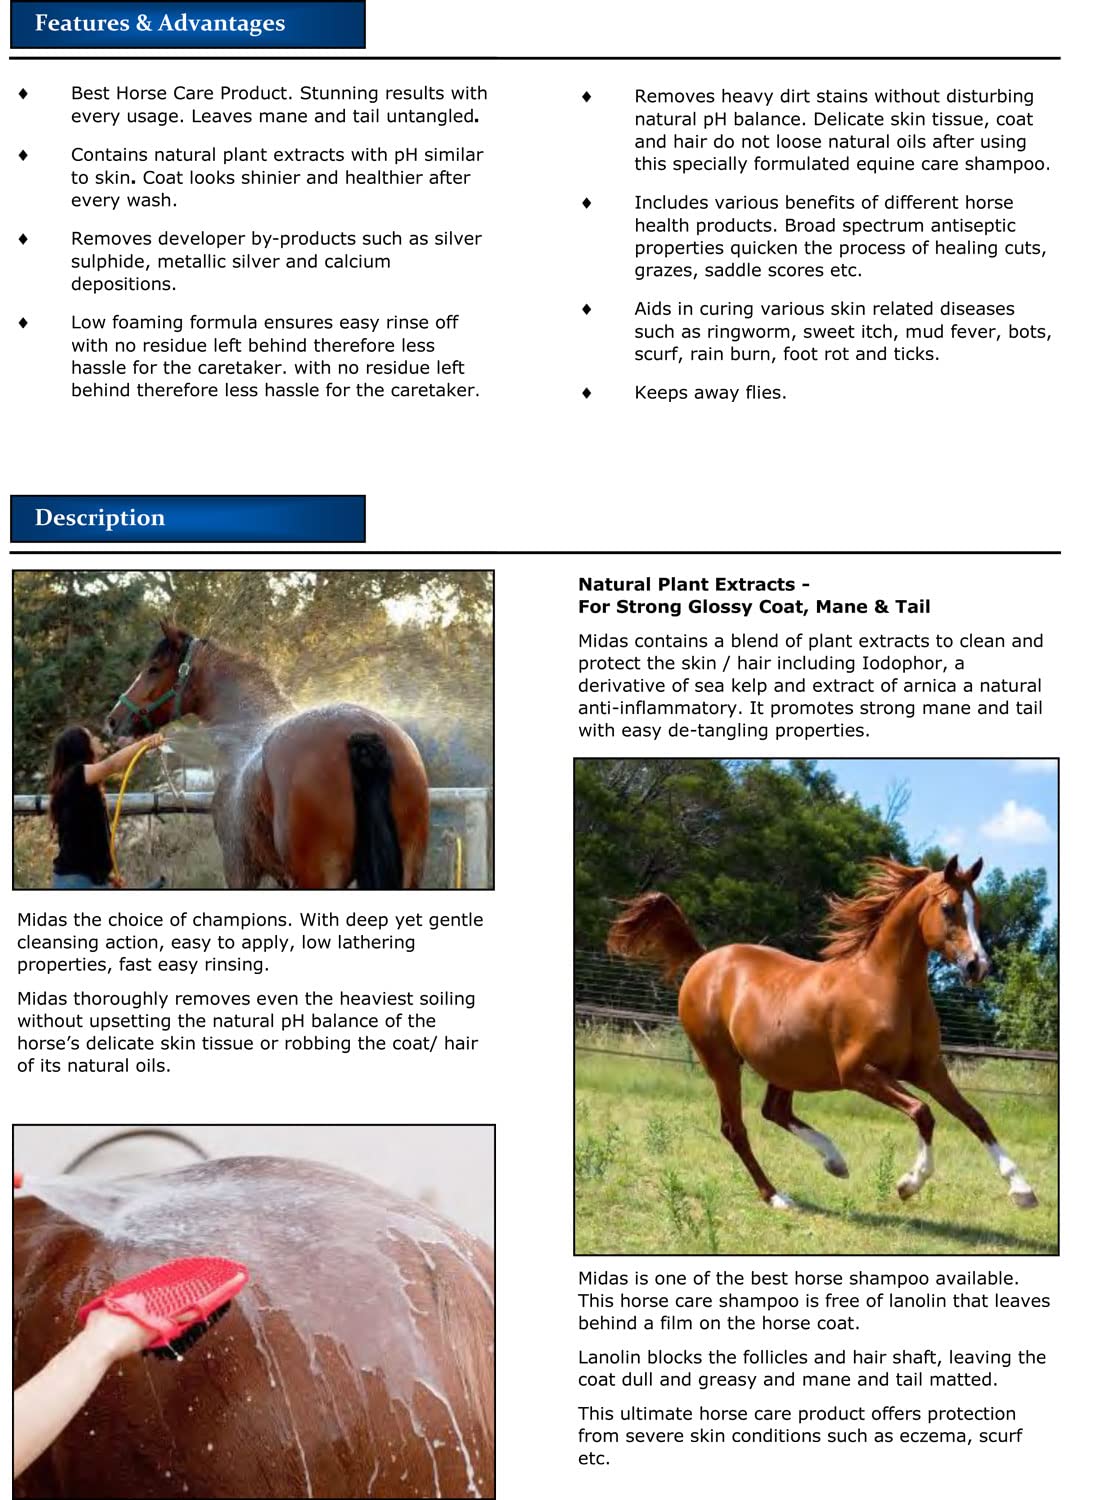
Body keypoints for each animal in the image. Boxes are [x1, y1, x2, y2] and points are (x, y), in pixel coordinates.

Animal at [606, 856, 1039, 1212]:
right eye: (948, 908)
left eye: (977, 909)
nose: (977, 966)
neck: (885, 987)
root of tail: (703, 961)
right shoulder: (858, 1073)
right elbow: (923, 1113)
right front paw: (908, 1184)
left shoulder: (928, 1069)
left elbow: (974, 1117)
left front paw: (1022, 1191)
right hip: (723, 1063)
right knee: (736, 1128)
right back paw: (778, 1196)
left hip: (784, 1066)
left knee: (775, 1111)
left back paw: (835, 1161)